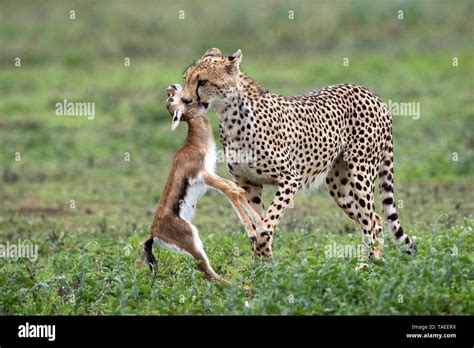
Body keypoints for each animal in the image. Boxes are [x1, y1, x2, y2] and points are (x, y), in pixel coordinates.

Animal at [180, 48, 416, 260]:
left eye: (202, 82)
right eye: (186, 79)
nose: (184, 100)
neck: (231, 116)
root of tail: (371, 94)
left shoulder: (290, 178)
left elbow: (268, 220)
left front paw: (265, 253)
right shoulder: (248, 183)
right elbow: (256, 219)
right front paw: (260, 268)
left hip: (361, 173)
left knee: (370, 221)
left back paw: (366, 265)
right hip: (339, 184)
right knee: (376, 218)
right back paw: (377, 261)